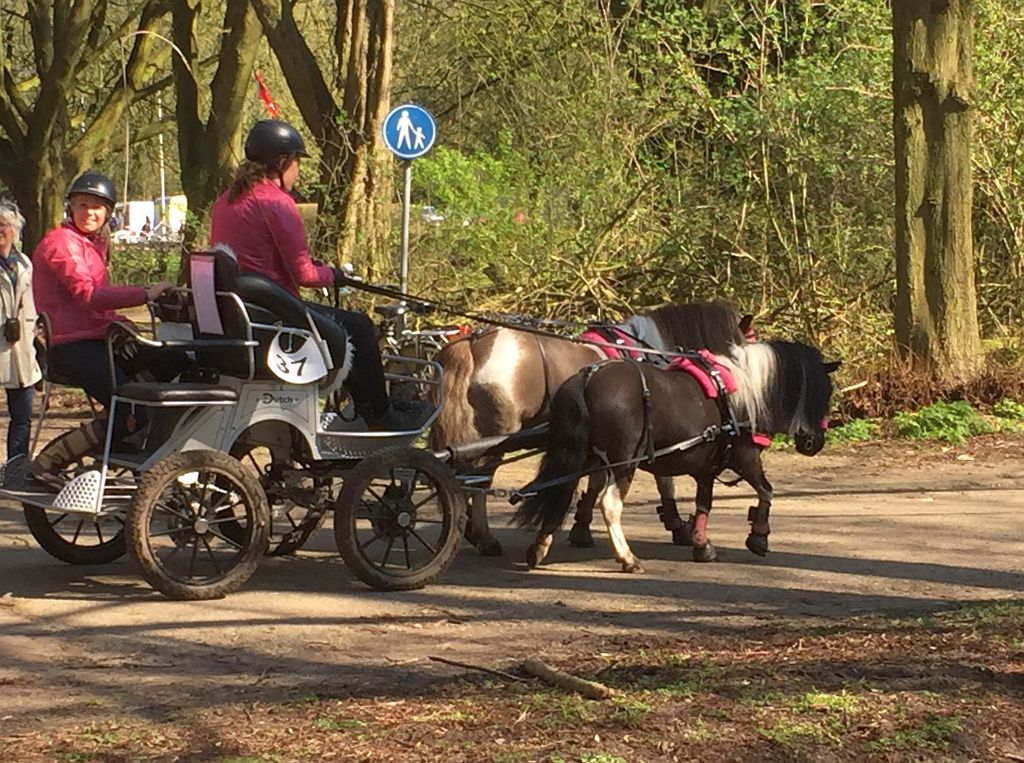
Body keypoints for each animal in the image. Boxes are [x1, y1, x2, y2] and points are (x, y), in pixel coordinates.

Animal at [423, 301, 753, 557]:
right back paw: (484, 538)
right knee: (479, 480)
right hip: (496, 434)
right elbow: (662, 482)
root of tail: (474, 342)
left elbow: (595, 480)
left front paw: (581, 527)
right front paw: (677, 526)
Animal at [512, 340, 839, 573]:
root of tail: (587, 378)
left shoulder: (707, 467)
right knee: (609, 505)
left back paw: (539, 547)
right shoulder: (745, 458)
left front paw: (702, 545)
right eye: (824, 393)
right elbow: (766, 492)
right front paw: (759, 537)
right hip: (623, 464)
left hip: (581, 458)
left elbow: (704, 504)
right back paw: (627, 558)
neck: (742, 394)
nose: (813, 443)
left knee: (559, 492)